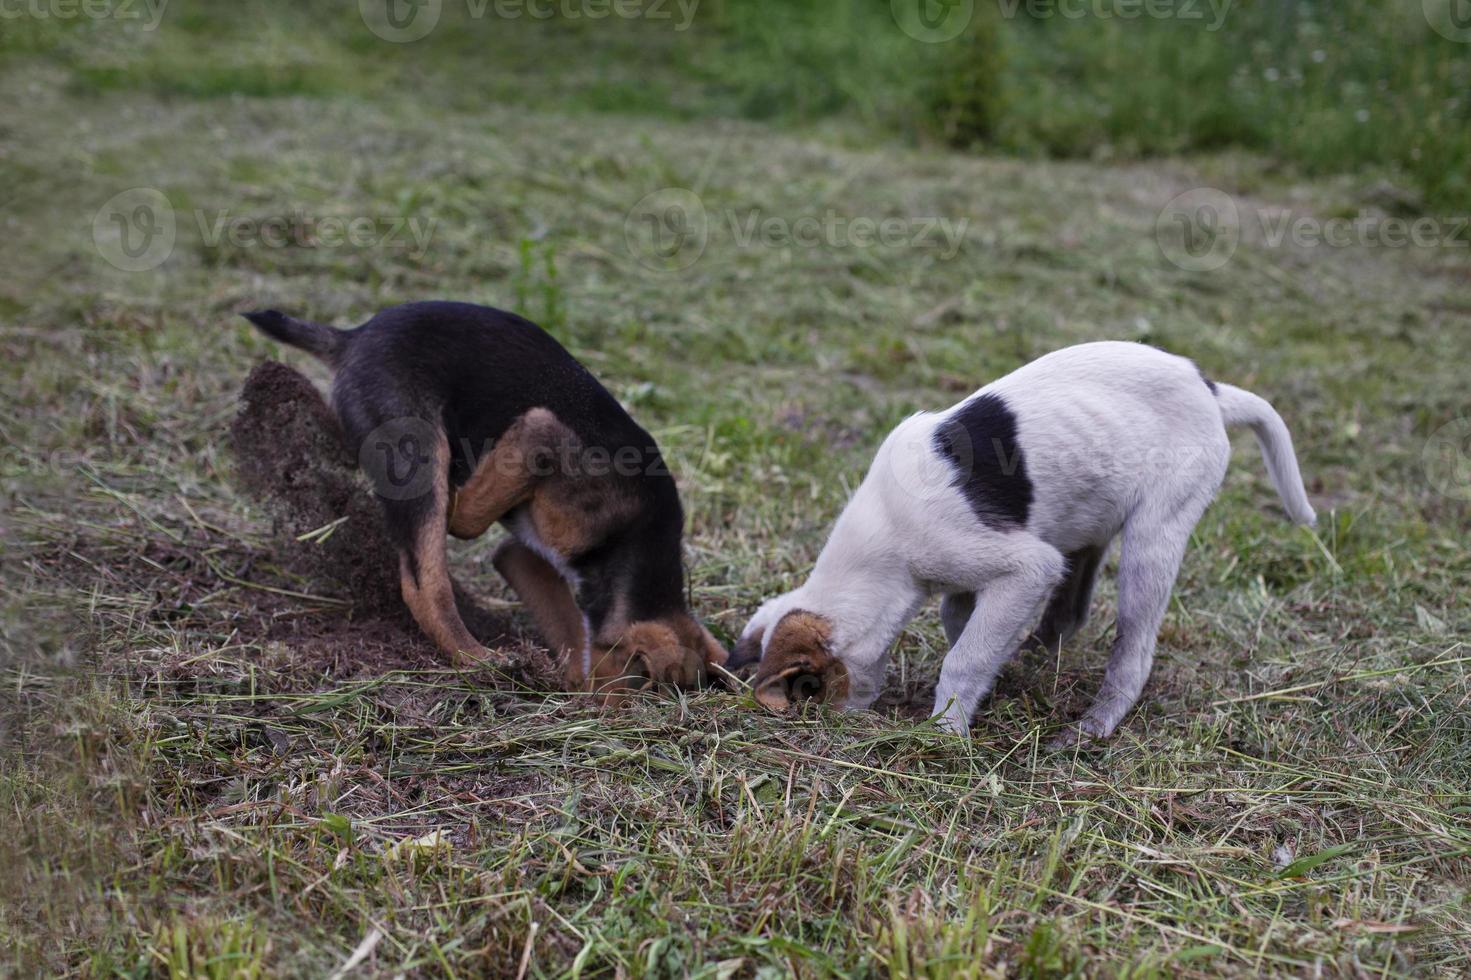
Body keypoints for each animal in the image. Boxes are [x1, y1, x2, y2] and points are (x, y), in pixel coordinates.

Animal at [242, 301, 729, 691]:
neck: (634, 542)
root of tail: (354, 336)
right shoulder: (540, 433)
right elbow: (465, 521)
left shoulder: (523, 557)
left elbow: (570, 628)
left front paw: (573, 678)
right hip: (419, 450)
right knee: (425, 584)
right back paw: (476, 659)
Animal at [729, 341, 1318, 741]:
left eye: (809, 690)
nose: (839, 726)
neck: (885, 543)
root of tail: (1209, 388)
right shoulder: (975, 581)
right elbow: (962, 625)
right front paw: (1000, 670)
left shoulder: (1024, 567)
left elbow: (963, 659)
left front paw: (945, 732)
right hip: (1085, 522)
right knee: (1070, 609)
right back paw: (1039, 653)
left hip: (1153, 540)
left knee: (1133, 653)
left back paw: (1093, 724)